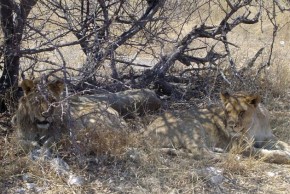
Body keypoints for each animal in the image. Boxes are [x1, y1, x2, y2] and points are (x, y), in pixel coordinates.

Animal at [144, 91, 290, 163]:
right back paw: (229, 157)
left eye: (241, 112)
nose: (231, 126)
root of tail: (144, 132)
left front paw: (286, 150)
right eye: (227, 112)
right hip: (192, 124)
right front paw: (284, 156)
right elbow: (265, 153)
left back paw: (220, 150)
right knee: (200, 152)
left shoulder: (269, 139)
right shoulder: (242, 147)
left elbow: (284, 144)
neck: (254, 124)